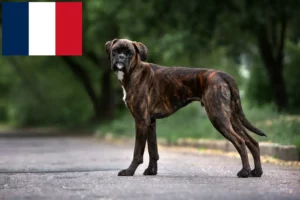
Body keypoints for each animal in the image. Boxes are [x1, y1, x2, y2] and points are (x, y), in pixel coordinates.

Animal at [105, 38, 264, 178]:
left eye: (129, 53)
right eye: (115, 51)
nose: (120, 57)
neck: (134, 71)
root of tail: (221, 74)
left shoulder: (141, 121)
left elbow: (138, 151)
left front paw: (129, 171)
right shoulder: (150, 122)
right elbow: (153, 150)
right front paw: (151, 171)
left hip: (218, 116)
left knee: (240, 141)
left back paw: (244, 172)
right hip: (231, 118)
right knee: (252, 142)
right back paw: (256, 172)